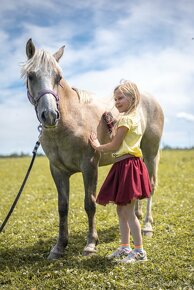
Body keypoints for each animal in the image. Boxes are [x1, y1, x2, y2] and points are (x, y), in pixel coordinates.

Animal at [21, 38, 164, 258]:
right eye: (31, 75)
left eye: (58, 77)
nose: (50, 115)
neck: (71, 120)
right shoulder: (57, 171)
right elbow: (62, 207)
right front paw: (59, 246)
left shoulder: (89, 166)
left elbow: (90, 204)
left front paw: (90, 244)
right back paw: (138, 215)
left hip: (151, 153)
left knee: (151, 184)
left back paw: (147, 226)